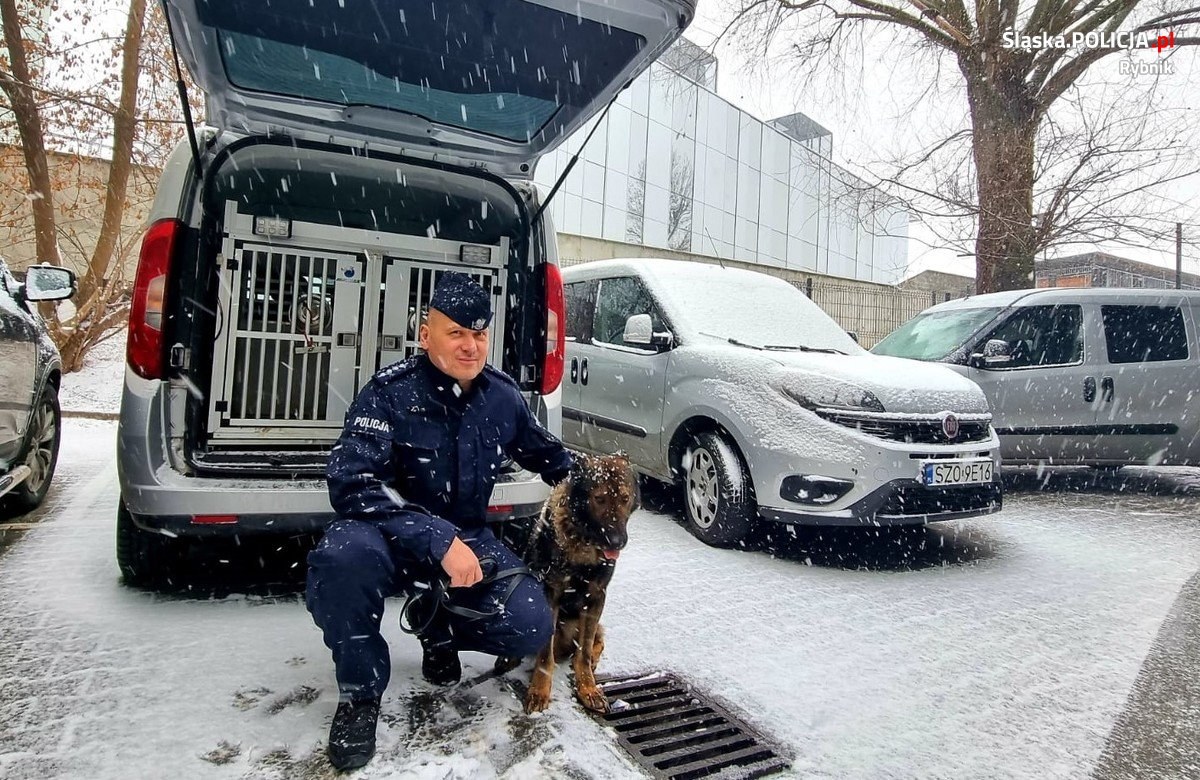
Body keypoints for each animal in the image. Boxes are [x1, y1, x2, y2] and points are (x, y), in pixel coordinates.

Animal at [520, 448, 643, 710]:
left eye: (625, 498)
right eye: (599, 499)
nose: (617, 542)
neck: (583, 541)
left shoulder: (596, 597)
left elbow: (584, 651)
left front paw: (587, 687)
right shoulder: (551, 593)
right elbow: (545, 654)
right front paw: (539, 690)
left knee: (595, 641)